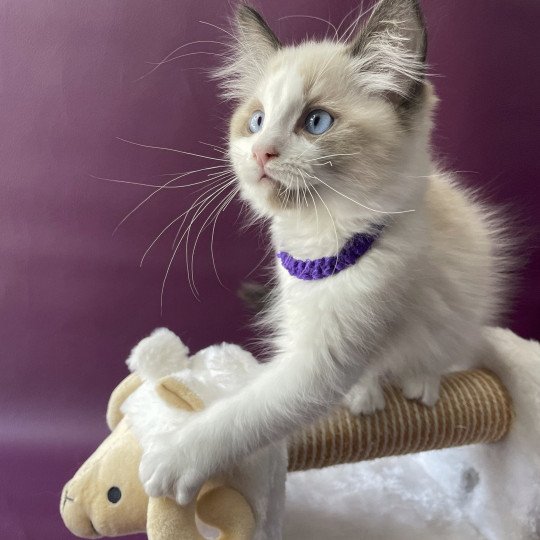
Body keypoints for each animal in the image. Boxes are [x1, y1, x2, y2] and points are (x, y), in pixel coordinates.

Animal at [139, 1, 510, 506]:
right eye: (256, 122)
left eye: (316, 122)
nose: (261, 153)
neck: (319, 247)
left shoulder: (323, 361)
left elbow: (246, 410)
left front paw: (171, 455)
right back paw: (366, 394)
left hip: (463, 313)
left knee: (439, 353)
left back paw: (422, 382)